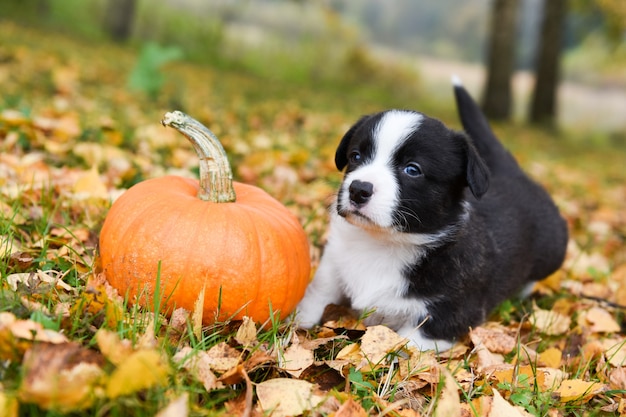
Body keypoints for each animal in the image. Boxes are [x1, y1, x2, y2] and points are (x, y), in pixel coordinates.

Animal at [294, 79, 568, 350]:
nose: (358, 189)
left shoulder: (446, 317)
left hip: (553, 251)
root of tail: (515, 174)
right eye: (356, 156)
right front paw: (296, 322)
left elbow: (406, 348)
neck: (383, 242)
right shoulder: (333, 262)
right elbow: (318, 293)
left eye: (412, 169)